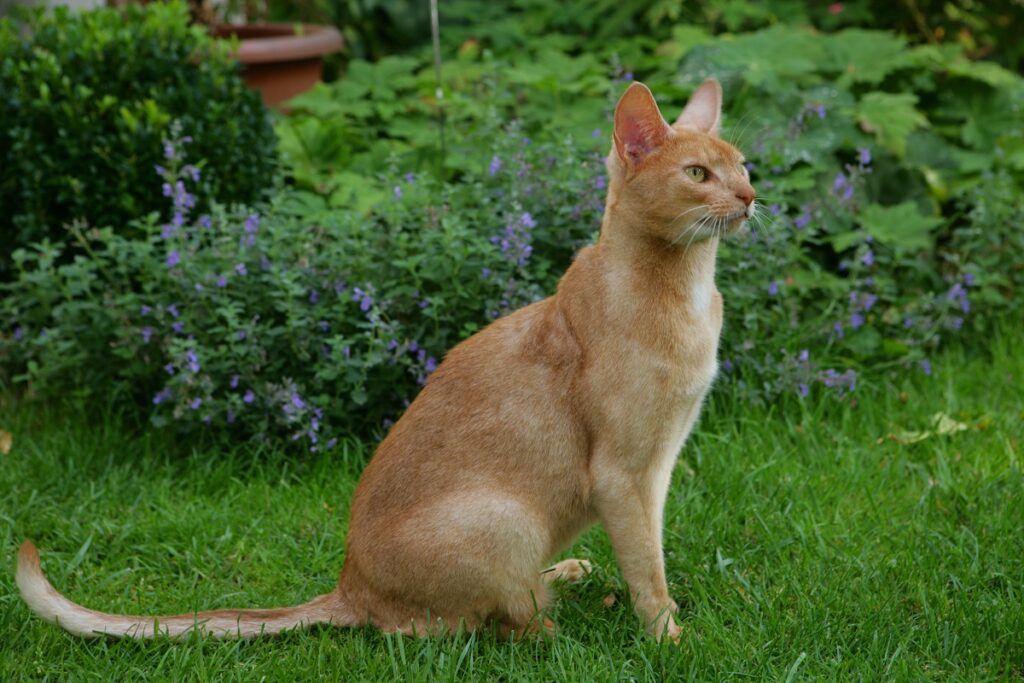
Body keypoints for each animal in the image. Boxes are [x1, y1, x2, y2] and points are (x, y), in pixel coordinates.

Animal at [14, 78, 753, 643]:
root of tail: (349, 586)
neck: (687, 294)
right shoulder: (624, 475)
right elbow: (648, 572)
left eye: (743, 165)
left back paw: (564, 576)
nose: (750, 197)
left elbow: (651, 557)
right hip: (504, 518)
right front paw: (670, 641)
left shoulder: (659, 467)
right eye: (697, 174)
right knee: (470, 629)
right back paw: (551, 624)